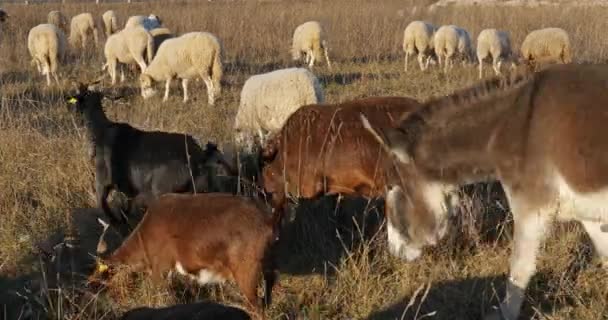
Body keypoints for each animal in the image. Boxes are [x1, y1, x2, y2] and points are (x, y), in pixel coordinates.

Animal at [67, 82, 235, 228]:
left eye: (80, 96)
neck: (101, 131)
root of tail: (201, 157)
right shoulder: (129, 192)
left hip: (165, 194)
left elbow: (112, 216)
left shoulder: (103, 185)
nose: (75, 112)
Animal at [93, 191, 280, 316]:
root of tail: (268, 221)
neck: (144, 235)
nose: (91, 287)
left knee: (257, 308)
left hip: (247, 272)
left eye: (102, 274)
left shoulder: (161, 267)